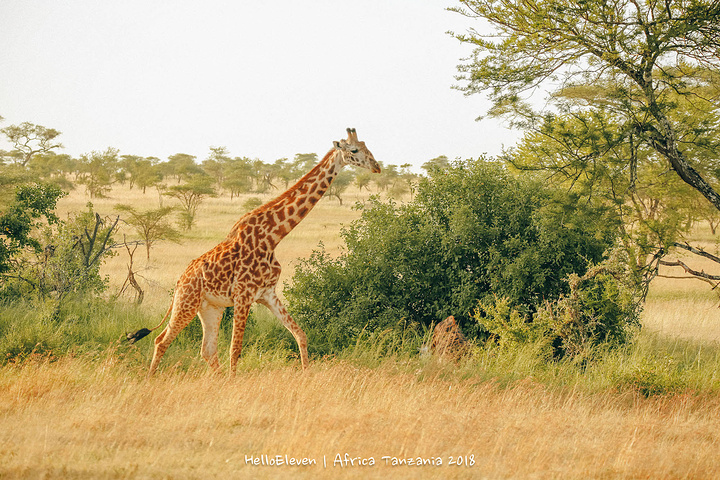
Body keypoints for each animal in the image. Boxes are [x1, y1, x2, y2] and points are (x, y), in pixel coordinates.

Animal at [128, 127, 382, 376]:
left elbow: (300, 335)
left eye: (367, 145)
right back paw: (151, 379)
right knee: (162, 341)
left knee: (207, 350)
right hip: (187, 302)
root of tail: (180, 280)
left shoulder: (267, 294)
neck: (273, 237)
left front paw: (306, 376)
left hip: (210, 308)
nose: (376, 166)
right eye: (354, 149)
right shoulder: (244, 295)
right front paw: (234, 383)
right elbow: (235, 348)